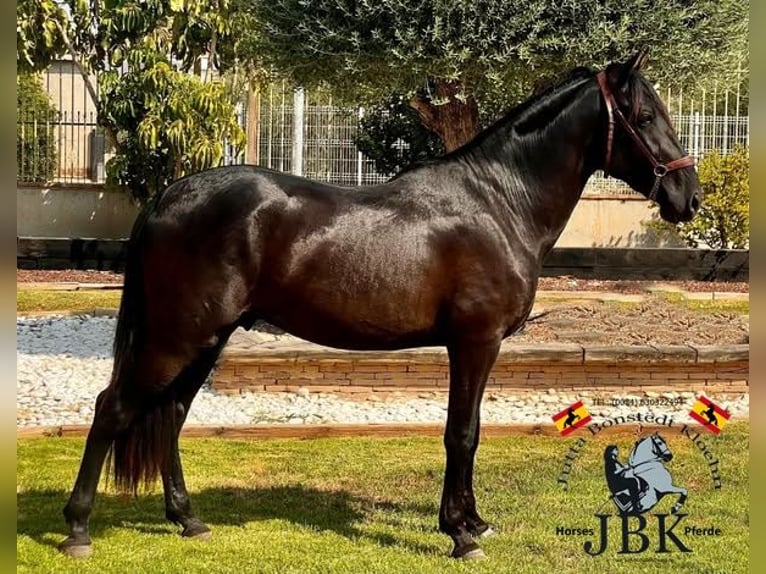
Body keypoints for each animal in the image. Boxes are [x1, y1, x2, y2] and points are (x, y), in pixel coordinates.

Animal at [60, 51, 704, 560]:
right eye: (645, 117)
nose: (690, 196)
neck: (499, 202)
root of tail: (172, 193)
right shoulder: (475, 341)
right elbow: (461, 432)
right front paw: (459, 535)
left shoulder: (477, 346)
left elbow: (469, 430)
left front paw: (472, 522)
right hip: (177, 335)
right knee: (113, 408)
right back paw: (78, 529)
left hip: (207, 338)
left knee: (169, 415)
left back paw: (188, 520)